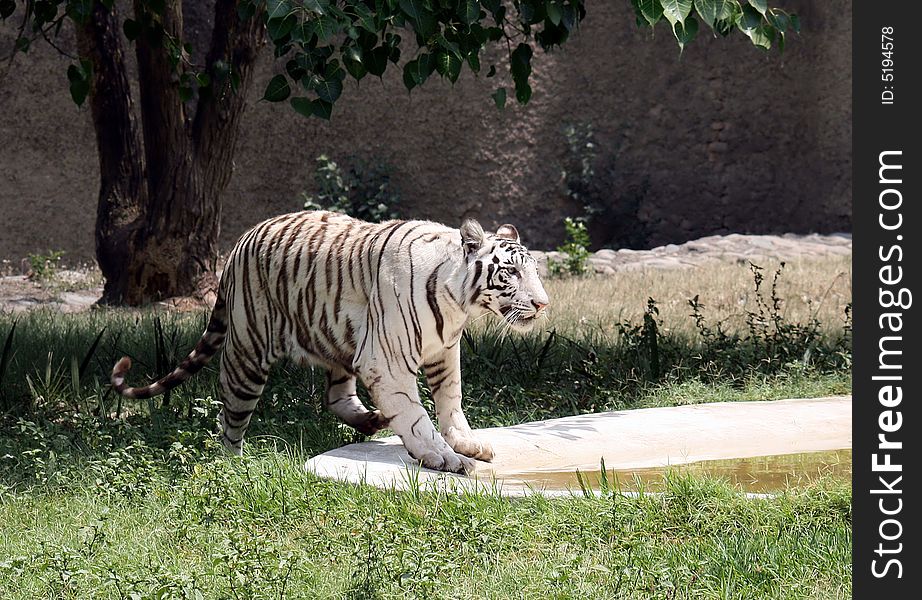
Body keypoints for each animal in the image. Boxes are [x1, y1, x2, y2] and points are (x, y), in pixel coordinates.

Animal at [112, 212, 548, 474]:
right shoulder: (388, 361)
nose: (543, 304)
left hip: (340, 336)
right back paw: (235, 465)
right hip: (248, 352)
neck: (458, 301)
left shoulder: (442, 351)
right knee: (230, 420)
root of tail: (239, 243)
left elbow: (451, 400)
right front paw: (442, 456)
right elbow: (415, 415)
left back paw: (372, 420)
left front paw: (467, 444)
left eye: (534, 271)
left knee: (335, 395)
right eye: (510, 272)